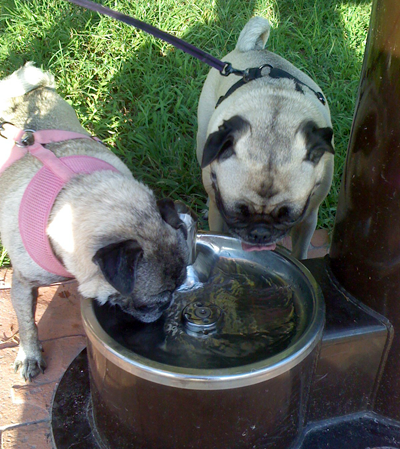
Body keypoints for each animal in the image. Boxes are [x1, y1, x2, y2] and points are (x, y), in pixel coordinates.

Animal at [0, 62, 191, 378]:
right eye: (152, 303)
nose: (168, 311)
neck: (71, 192)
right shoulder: (24, 283)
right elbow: (28, 323)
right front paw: (29, 355)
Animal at [197, 17, 334, 260]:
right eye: (237, 213)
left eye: (289, 216)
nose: (260, 232)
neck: (273, 124)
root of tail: (252, 48)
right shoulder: (219, 212)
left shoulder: (308, 217)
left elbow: (300, 251)